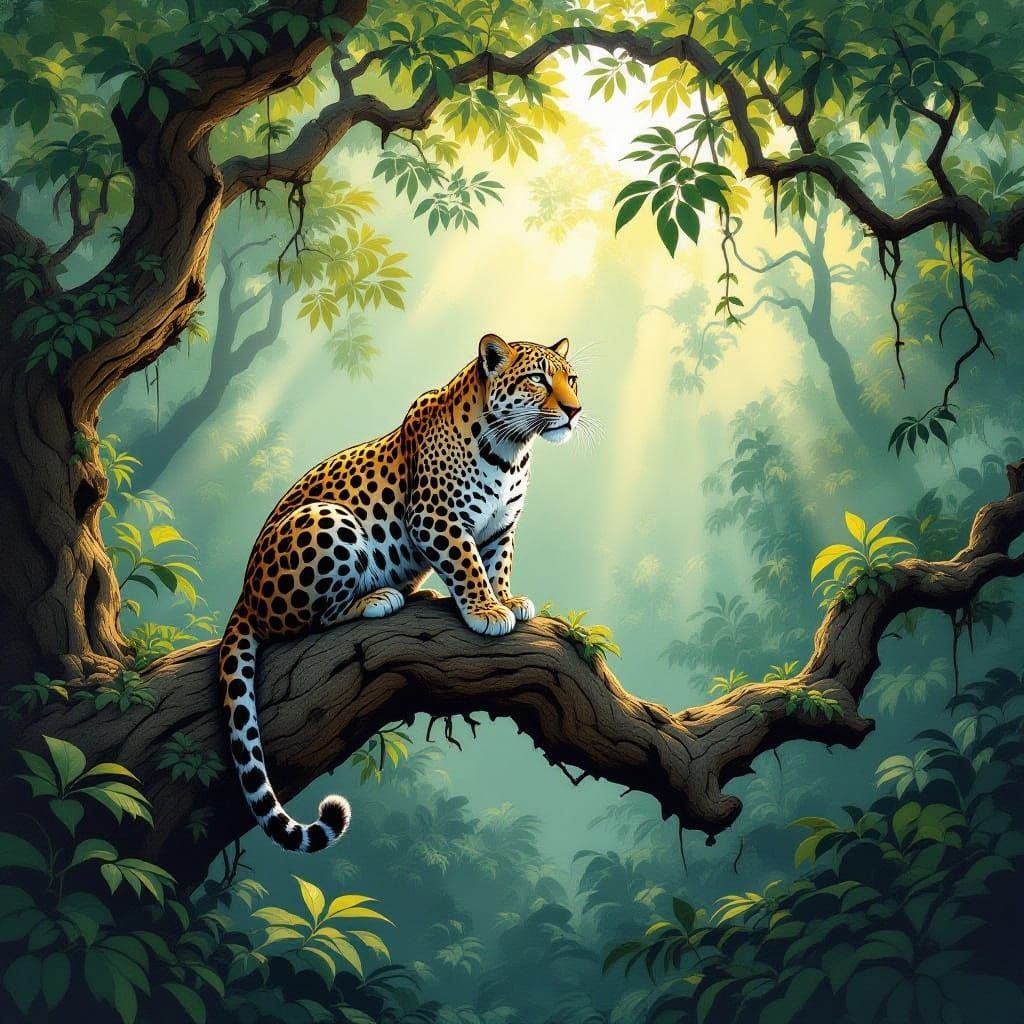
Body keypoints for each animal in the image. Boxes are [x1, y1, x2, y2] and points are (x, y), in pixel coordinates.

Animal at [218, 333, 582, 853]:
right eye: (538, 380)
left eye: (572, 379)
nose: (574, 410)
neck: (512, 451)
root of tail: (244, 595)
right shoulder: (436, 519)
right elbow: (468, 565)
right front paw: (486, 610)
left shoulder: (501, 527)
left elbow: (498, 564)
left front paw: (506, 600)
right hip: (329, 520)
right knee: (308, 620)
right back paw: (376, 599)